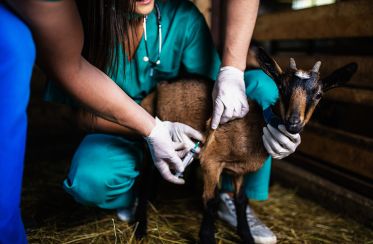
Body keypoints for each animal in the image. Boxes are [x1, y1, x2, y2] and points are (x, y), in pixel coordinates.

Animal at [137, 47, 358, 242]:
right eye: (281, 87)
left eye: (318, 94)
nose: (293, 123)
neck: (255, 128)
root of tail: (161, 84)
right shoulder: (211, 161)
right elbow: (211, 200)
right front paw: (207, 237)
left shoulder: (239, 170)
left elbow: (241, 201)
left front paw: (247, 236)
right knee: (145, 176)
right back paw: (141, 228)